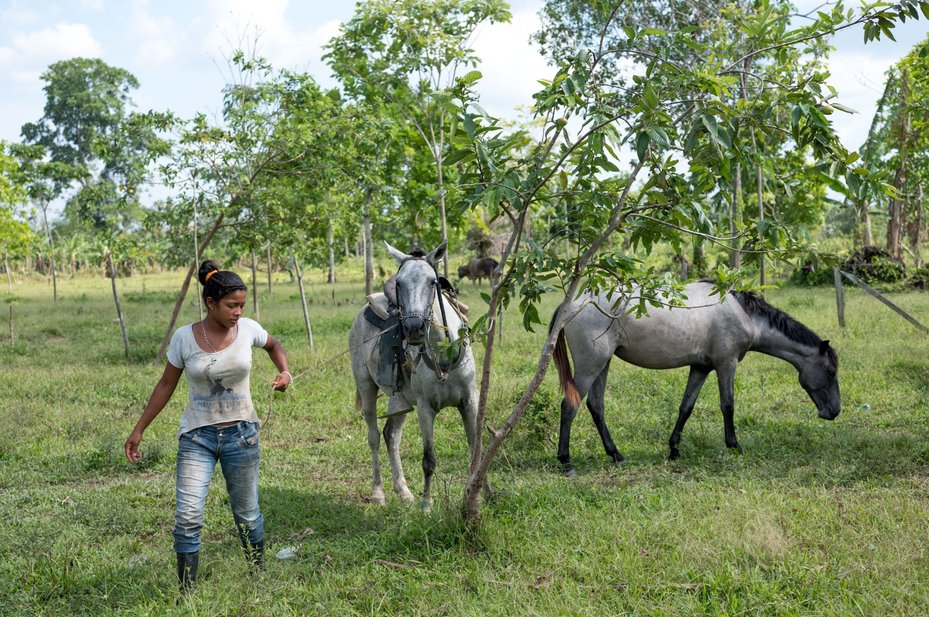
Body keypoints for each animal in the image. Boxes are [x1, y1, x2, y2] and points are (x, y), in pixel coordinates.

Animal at [348, 239, 478, 506]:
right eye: (399, 283)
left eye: (432, 282)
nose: (414, 328)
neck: (442, 352)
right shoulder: (425, 407)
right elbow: (429, 459)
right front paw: (426, 504)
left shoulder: (470, 400)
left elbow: (475, 449)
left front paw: (482, 493)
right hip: (367, 388)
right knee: (374, 437)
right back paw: (378, 493)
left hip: (400, 399)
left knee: (391, 435)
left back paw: (403, 491)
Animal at [552, 280, 840, 472]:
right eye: (831, 371)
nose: (834, 412)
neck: (742, 313)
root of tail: (573, 304)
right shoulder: (726, 364)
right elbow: (728, 405)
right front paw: (734, 445)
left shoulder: (701, 368)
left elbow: (686, 407)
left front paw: (674, 449)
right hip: (591, 366)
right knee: (570, 406)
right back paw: (566, 461)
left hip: (603, 365)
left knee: (596, 407)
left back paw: (616, 455)